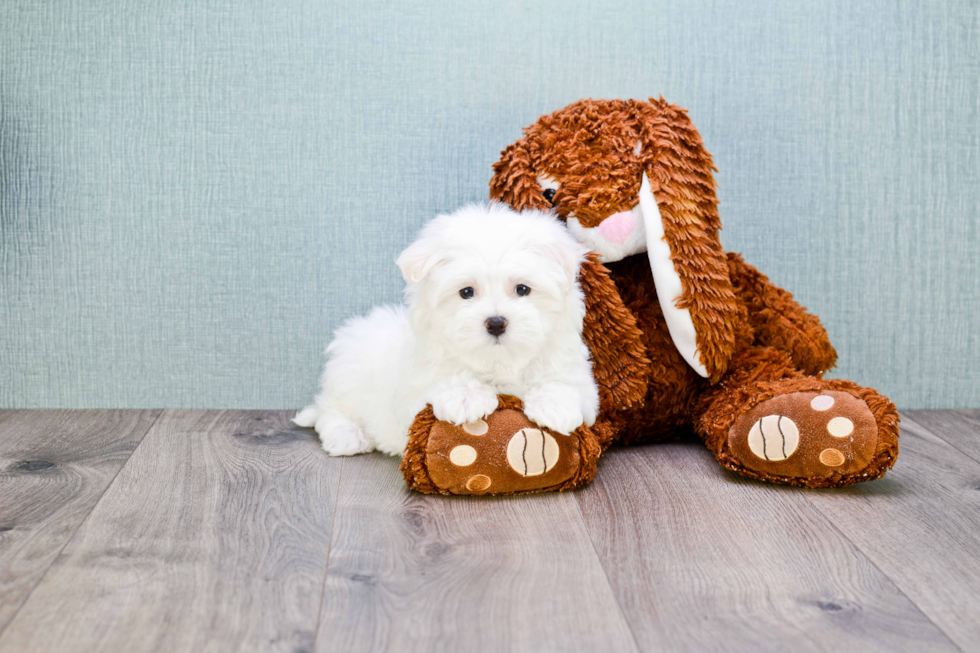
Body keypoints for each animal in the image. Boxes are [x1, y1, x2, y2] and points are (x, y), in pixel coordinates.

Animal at [290, 202, 596, 454]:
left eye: (522, 289)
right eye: (466, 292)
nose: (496, 322)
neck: (498, 362)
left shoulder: (580, 381)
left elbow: (566, 385)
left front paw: (555, 405)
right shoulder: (414, 391)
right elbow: (443, 382)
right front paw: (466, 397)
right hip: (347, 378)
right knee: (329, 410)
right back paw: (347, 436)